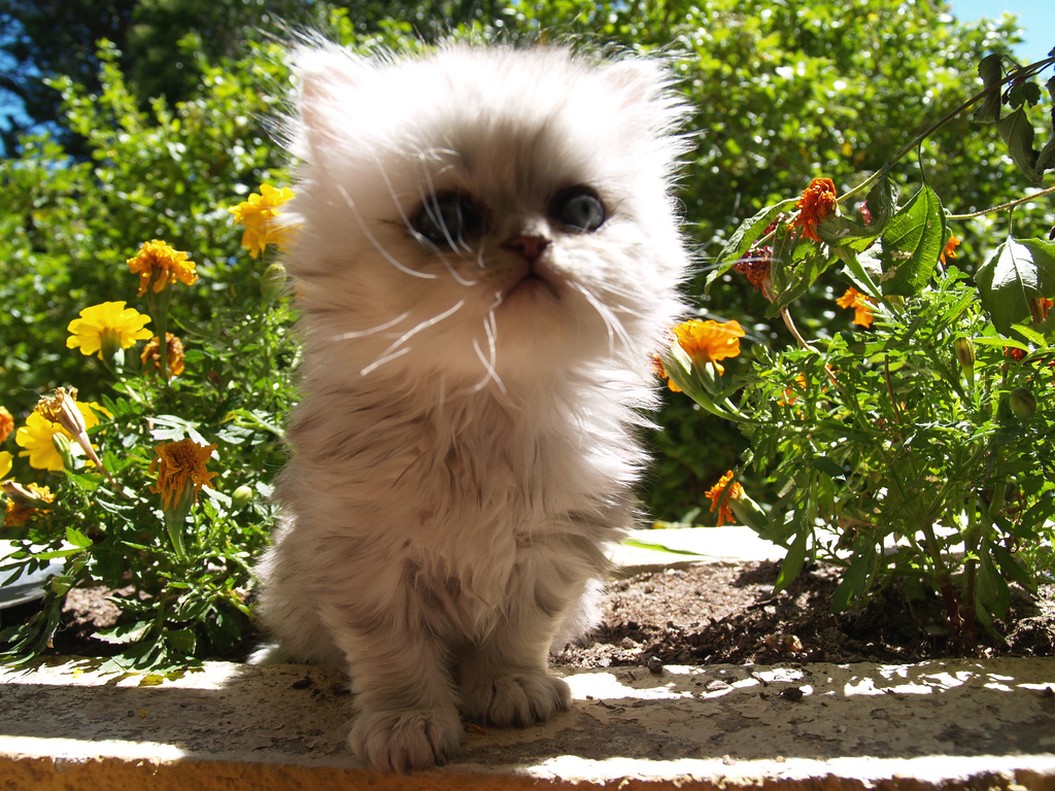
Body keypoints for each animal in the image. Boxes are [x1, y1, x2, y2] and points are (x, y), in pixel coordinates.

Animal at [254, 41, 692, 776]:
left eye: (580, 210)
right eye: (445, 221)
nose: (531, 242)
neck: (486, 398)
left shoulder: (551, 549)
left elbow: (519, 631)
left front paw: (511, 690)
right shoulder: (362, 559)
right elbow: (392, 654)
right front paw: (406, 726)